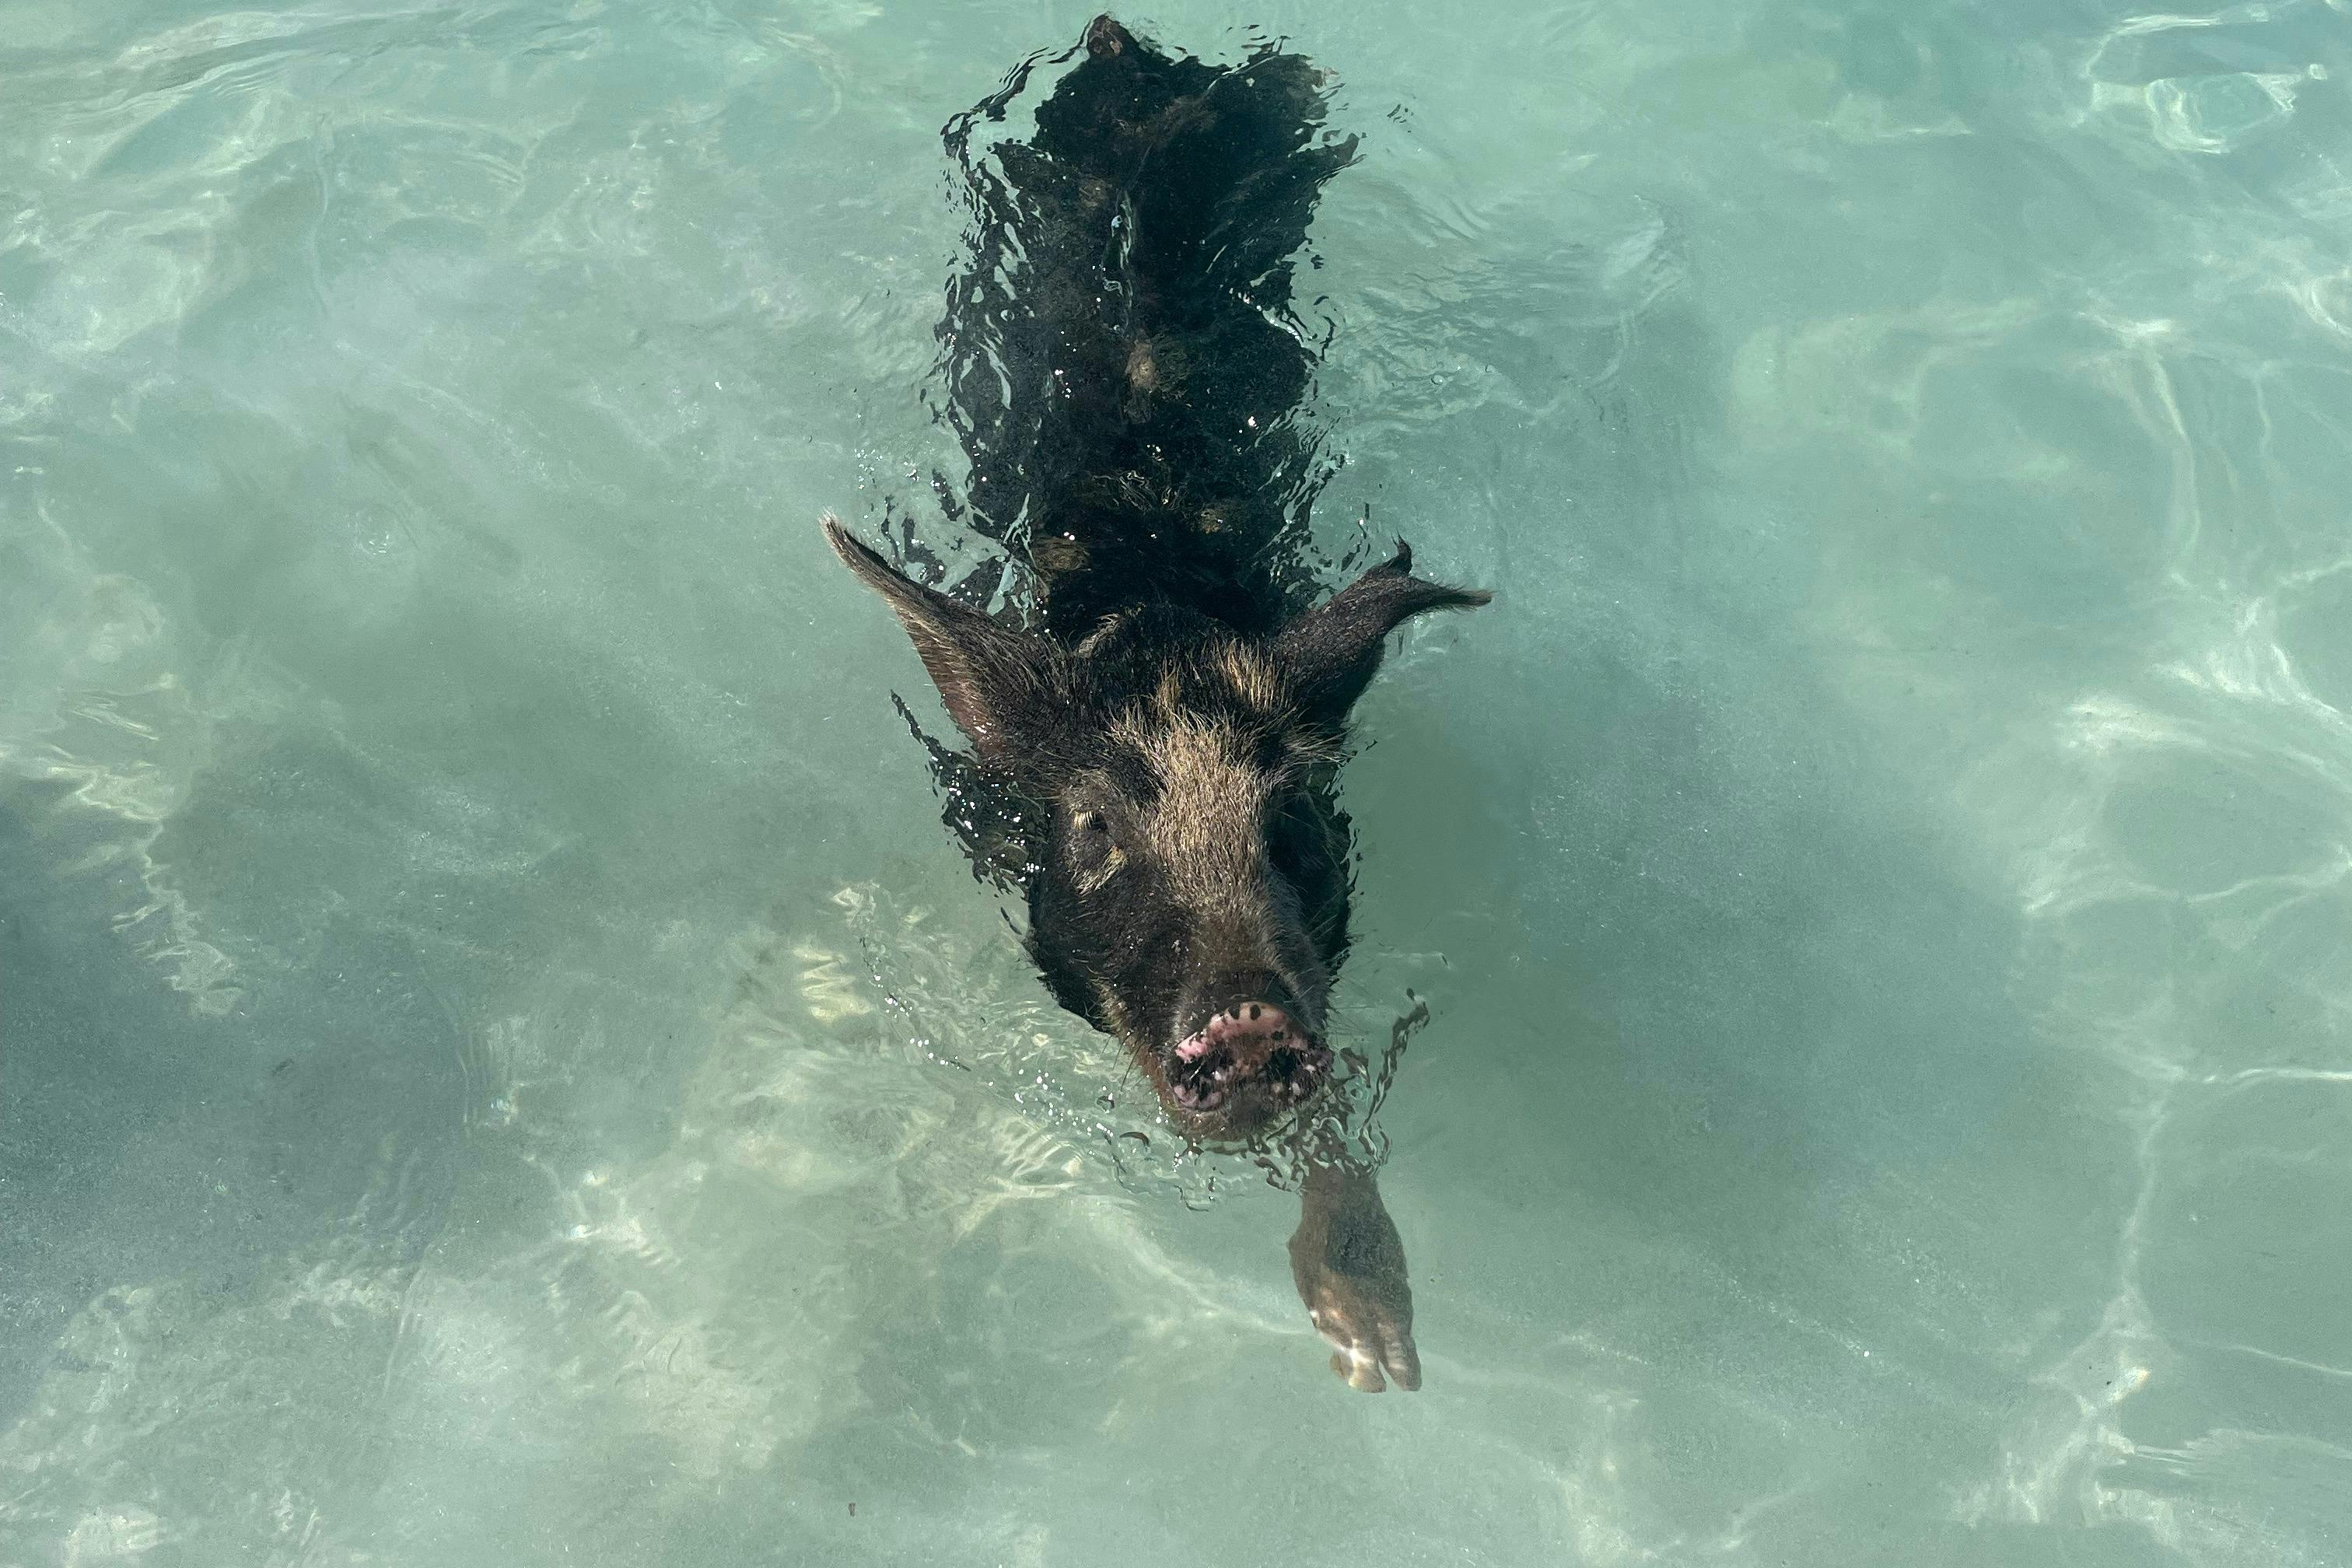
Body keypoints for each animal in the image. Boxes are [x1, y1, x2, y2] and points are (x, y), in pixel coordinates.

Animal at [825, 14, 1487, 1392]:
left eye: (1293, 820)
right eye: (1093, 828)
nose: (1243, 1018)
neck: (1162, 632)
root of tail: (1128, 46)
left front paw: (1375, 1358)